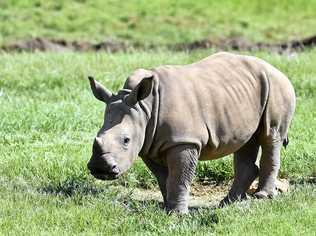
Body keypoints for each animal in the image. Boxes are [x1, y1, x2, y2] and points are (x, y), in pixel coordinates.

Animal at [86, 51, 294, 214]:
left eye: (126, 140)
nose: (100, 168)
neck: (144, 108)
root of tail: (278, 70)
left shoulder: (183, 141)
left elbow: (179, 177)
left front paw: (178, 214)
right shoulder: (149, 144)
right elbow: (164, 178)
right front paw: (167, 208)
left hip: (277, 87)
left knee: (270, 136)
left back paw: (262, 197)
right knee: (247, 140)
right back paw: (228, 203)